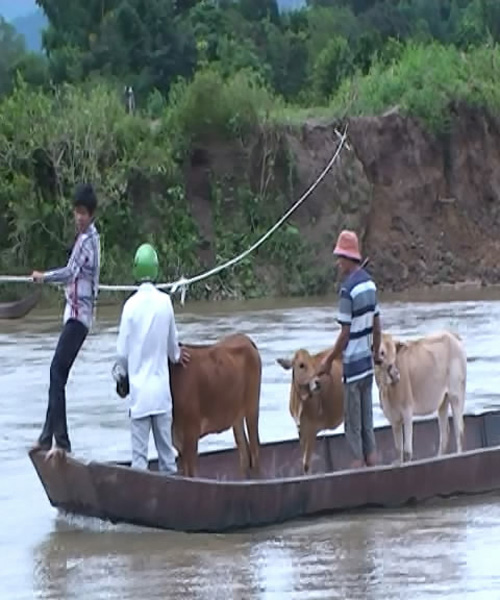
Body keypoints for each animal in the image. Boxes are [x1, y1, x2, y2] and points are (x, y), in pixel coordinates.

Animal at [169, 332, 262, 478]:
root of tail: (245, 338)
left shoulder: (191, 433)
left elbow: (192, 474)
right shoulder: (178, 438)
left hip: (252, 407)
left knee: (254, 450)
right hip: (236, 416)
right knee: (244, 454)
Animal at [278, 346, 344, 474]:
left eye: (314, 365)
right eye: (301, 365)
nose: (317, 383)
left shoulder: (312, 428)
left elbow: (306, 464)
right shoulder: (301, 429)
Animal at [376, 328, 466, 464]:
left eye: (394, 352)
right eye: (382, 352)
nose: (394, 374)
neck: (387, 389)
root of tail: (452, 335)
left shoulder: (407, 409)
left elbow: (407, 450)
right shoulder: (393, 417)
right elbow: (398, 449)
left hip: (456, 394)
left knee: (459, 430)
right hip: (443, 401)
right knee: (445, 433)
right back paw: (439, 457)